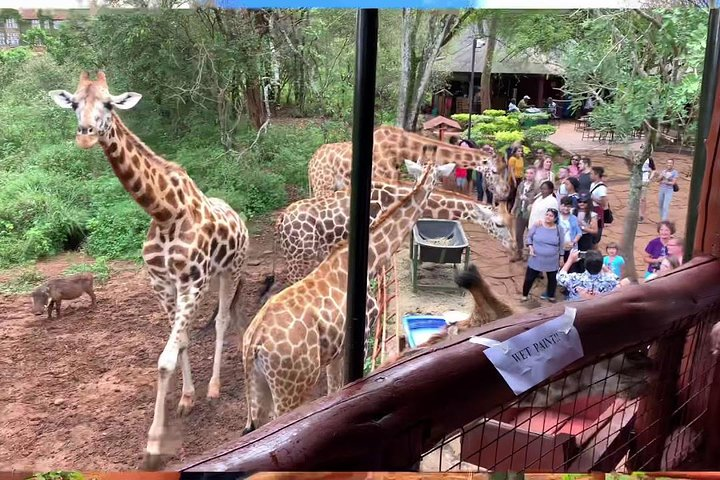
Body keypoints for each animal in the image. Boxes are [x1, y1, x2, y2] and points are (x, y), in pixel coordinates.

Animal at [48, 71, 249, 469]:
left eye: (109, 104)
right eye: (74, 102)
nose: (85, 134)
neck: (164, 212)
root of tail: (238, 216)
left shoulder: (191, 282)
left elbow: (164, 360)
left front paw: (154, 446)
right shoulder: (163, 284)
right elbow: (180, 342)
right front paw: (186, 399)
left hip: (230, 269)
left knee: (222, 320)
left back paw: (215, 387)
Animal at [241, 146, 454, 433]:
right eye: (438, 178)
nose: (435, 193)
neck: (372, 260)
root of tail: (253, 344)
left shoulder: (334, 352)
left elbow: (333, 392)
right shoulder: (363, 334)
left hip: (258, 386)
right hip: (292, 385)